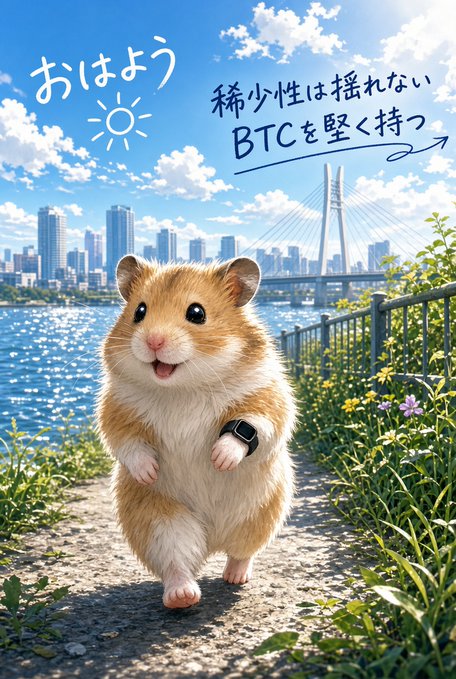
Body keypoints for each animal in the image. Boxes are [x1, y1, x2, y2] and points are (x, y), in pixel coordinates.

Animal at [96, 255, 296, 609]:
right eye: (139, 312)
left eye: (197, 313)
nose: (153, 341)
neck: (183, 387)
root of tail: (213, 539)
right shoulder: (116, 407)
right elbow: (125, 440)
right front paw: (149, 471)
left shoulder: (267, 395)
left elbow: (252, 425)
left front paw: (219, 460)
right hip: (160, 521)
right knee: (177, 561)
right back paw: (182, 597)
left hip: (260, 516)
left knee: (241, 552)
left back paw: (235, 577)